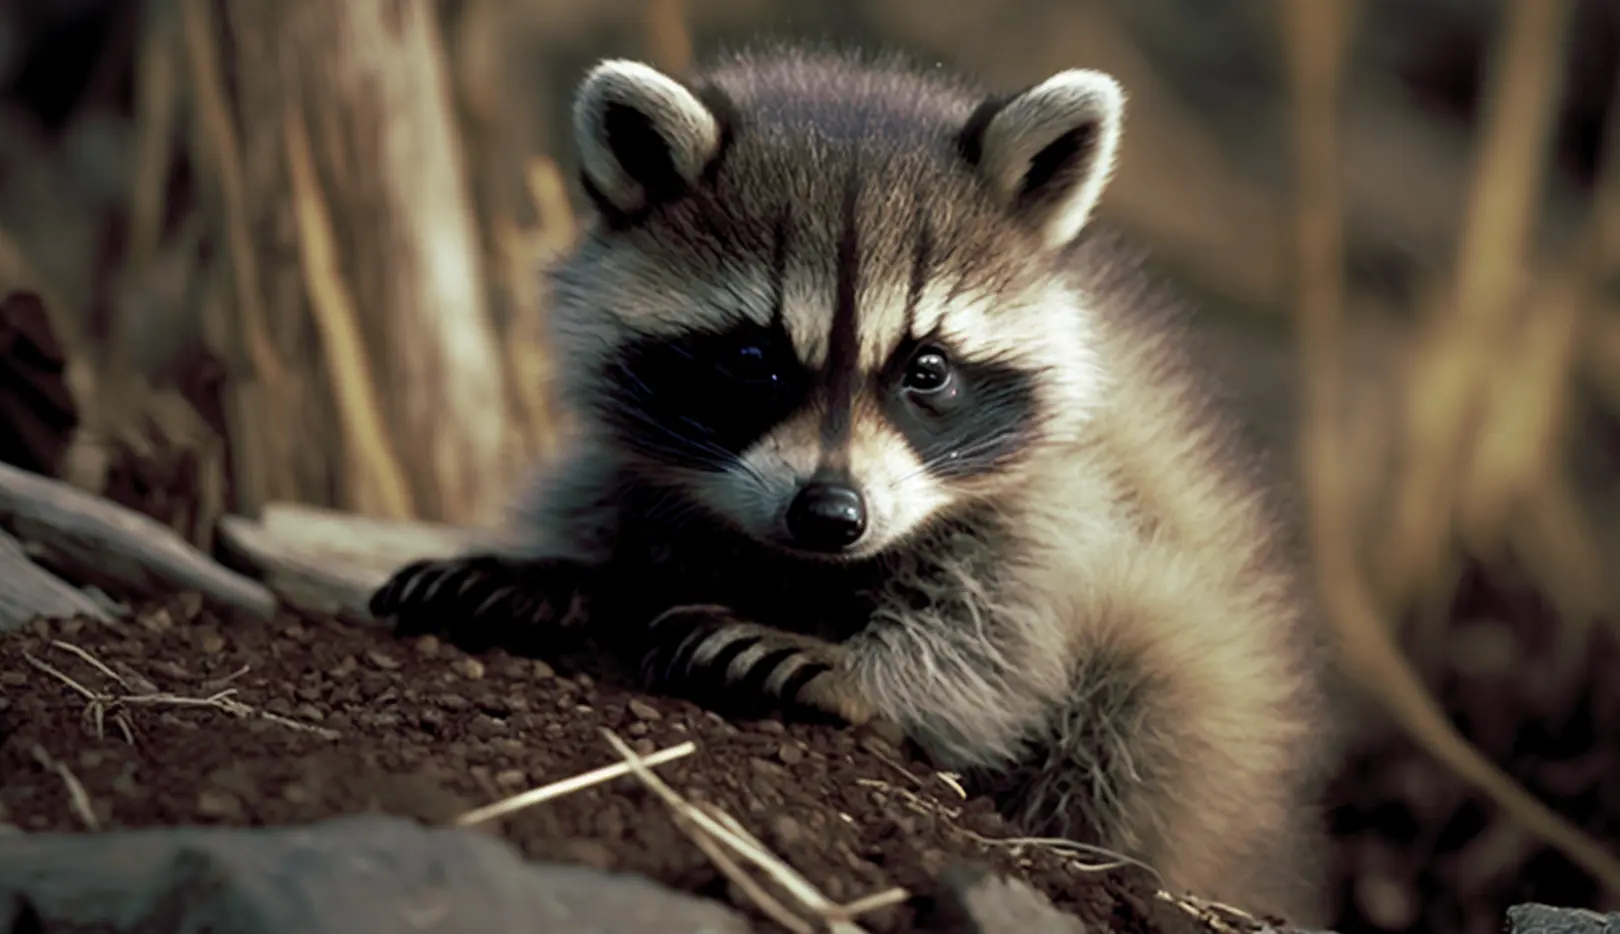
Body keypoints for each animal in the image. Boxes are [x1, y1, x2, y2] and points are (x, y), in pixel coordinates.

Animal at [370, 45, 1332, 922]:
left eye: (928, 370)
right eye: (751, 359)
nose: (831, 514)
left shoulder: (1071, 486)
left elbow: (1008, 631)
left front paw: (868, 673)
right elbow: (605, 486)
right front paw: (567, 565)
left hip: (1208, 682)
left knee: (1154, 685)